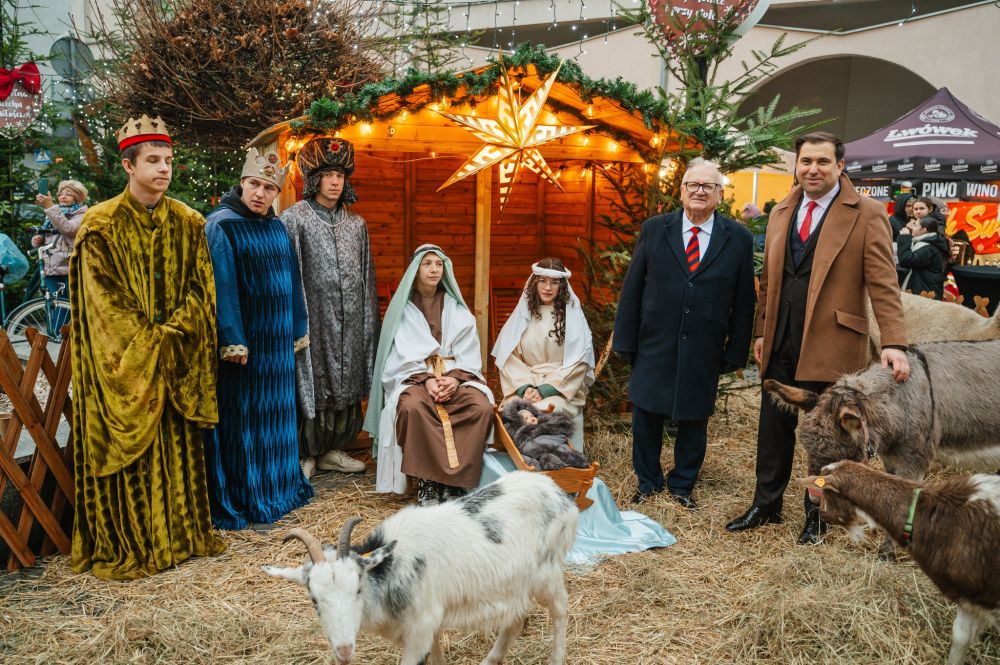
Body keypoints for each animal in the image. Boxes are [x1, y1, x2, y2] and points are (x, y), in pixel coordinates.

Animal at [263, 471, 578, 665]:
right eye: (314, 599)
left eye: (358, 589)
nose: (343, 650)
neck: (391, 566)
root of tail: (557, 491)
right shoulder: (427, 623)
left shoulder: (419, 631)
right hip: (516, 583)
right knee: (515, 618)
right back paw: (491, 659)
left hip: (547, 571)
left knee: (560, 608)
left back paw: (557, 658)